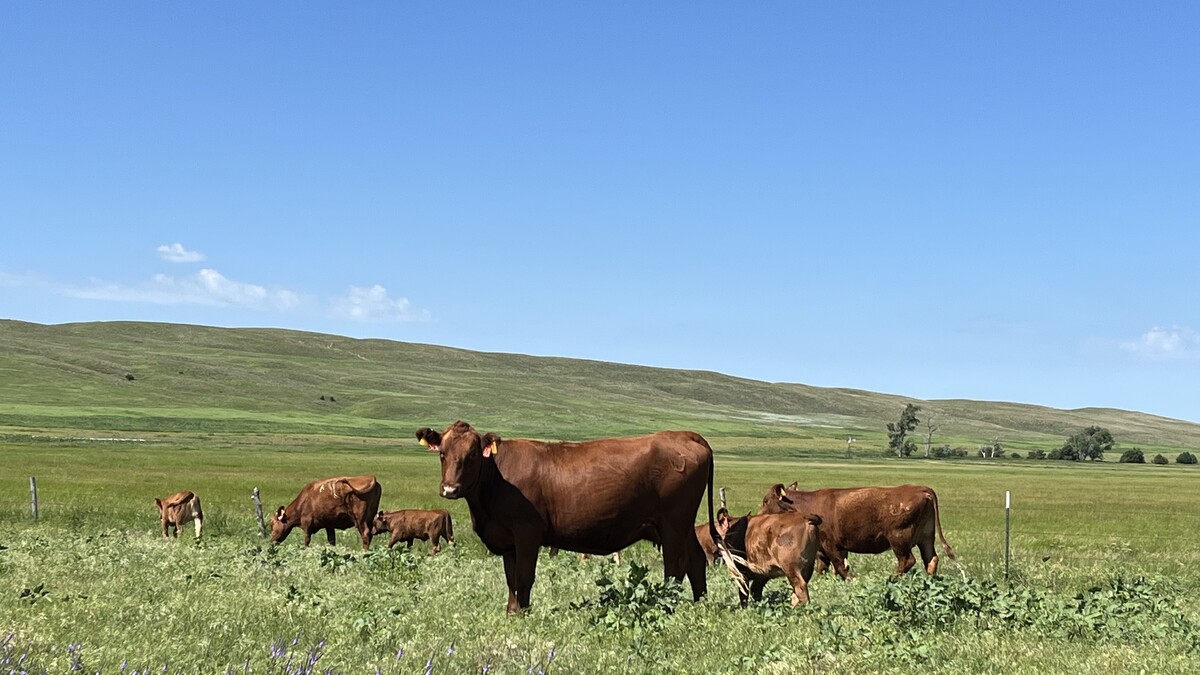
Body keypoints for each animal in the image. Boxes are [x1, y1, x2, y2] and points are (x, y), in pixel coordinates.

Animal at [417, 421, 719, 614]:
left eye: (472, 456)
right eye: (442, 454)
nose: (449, 489)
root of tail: (684, 434)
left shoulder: (527, 532)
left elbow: (524, 576)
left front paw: (523, 613)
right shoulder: (507, 540)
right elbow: (511, 579)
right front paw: (511, 612)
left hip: (673, 524)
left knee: (675, 567)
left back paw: (666, 605)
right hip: (681, 526)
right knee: (695, 561)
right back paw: (699, 603)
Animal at [759, 481, 956, 579]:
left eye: (765, 500)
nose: (758, 515)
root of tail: (921, 489)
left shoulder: (830, 544)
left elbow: (840, 566)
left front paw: (850, 580)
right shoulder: (825, 548)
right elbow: (824, 567)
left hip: (899, 539)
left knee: (907, 560)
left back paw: (892, 579)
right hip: (926, 538)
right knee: (931, 560)